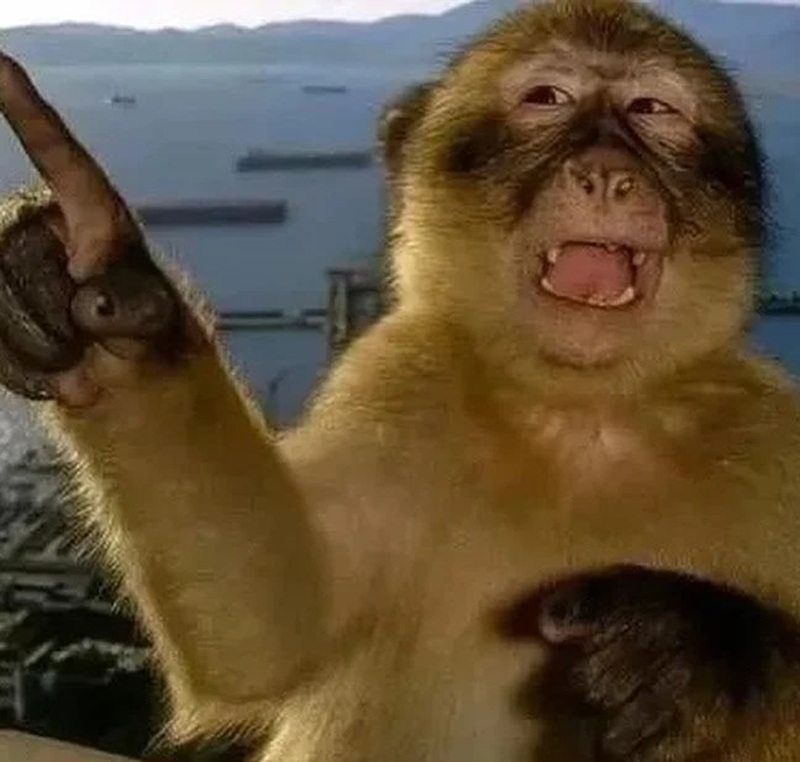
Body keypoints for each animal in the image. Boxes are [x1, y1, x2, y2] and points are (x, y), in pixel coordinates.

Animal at [0, 0, 800, 760]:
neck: (583, 412)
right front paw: (104, 302)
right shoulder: (400, 378)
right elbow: (266, 632)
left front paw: (705, 656)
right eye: (546, 97)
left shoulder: (769, 438)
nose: (606, 174)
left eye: (652, 109)